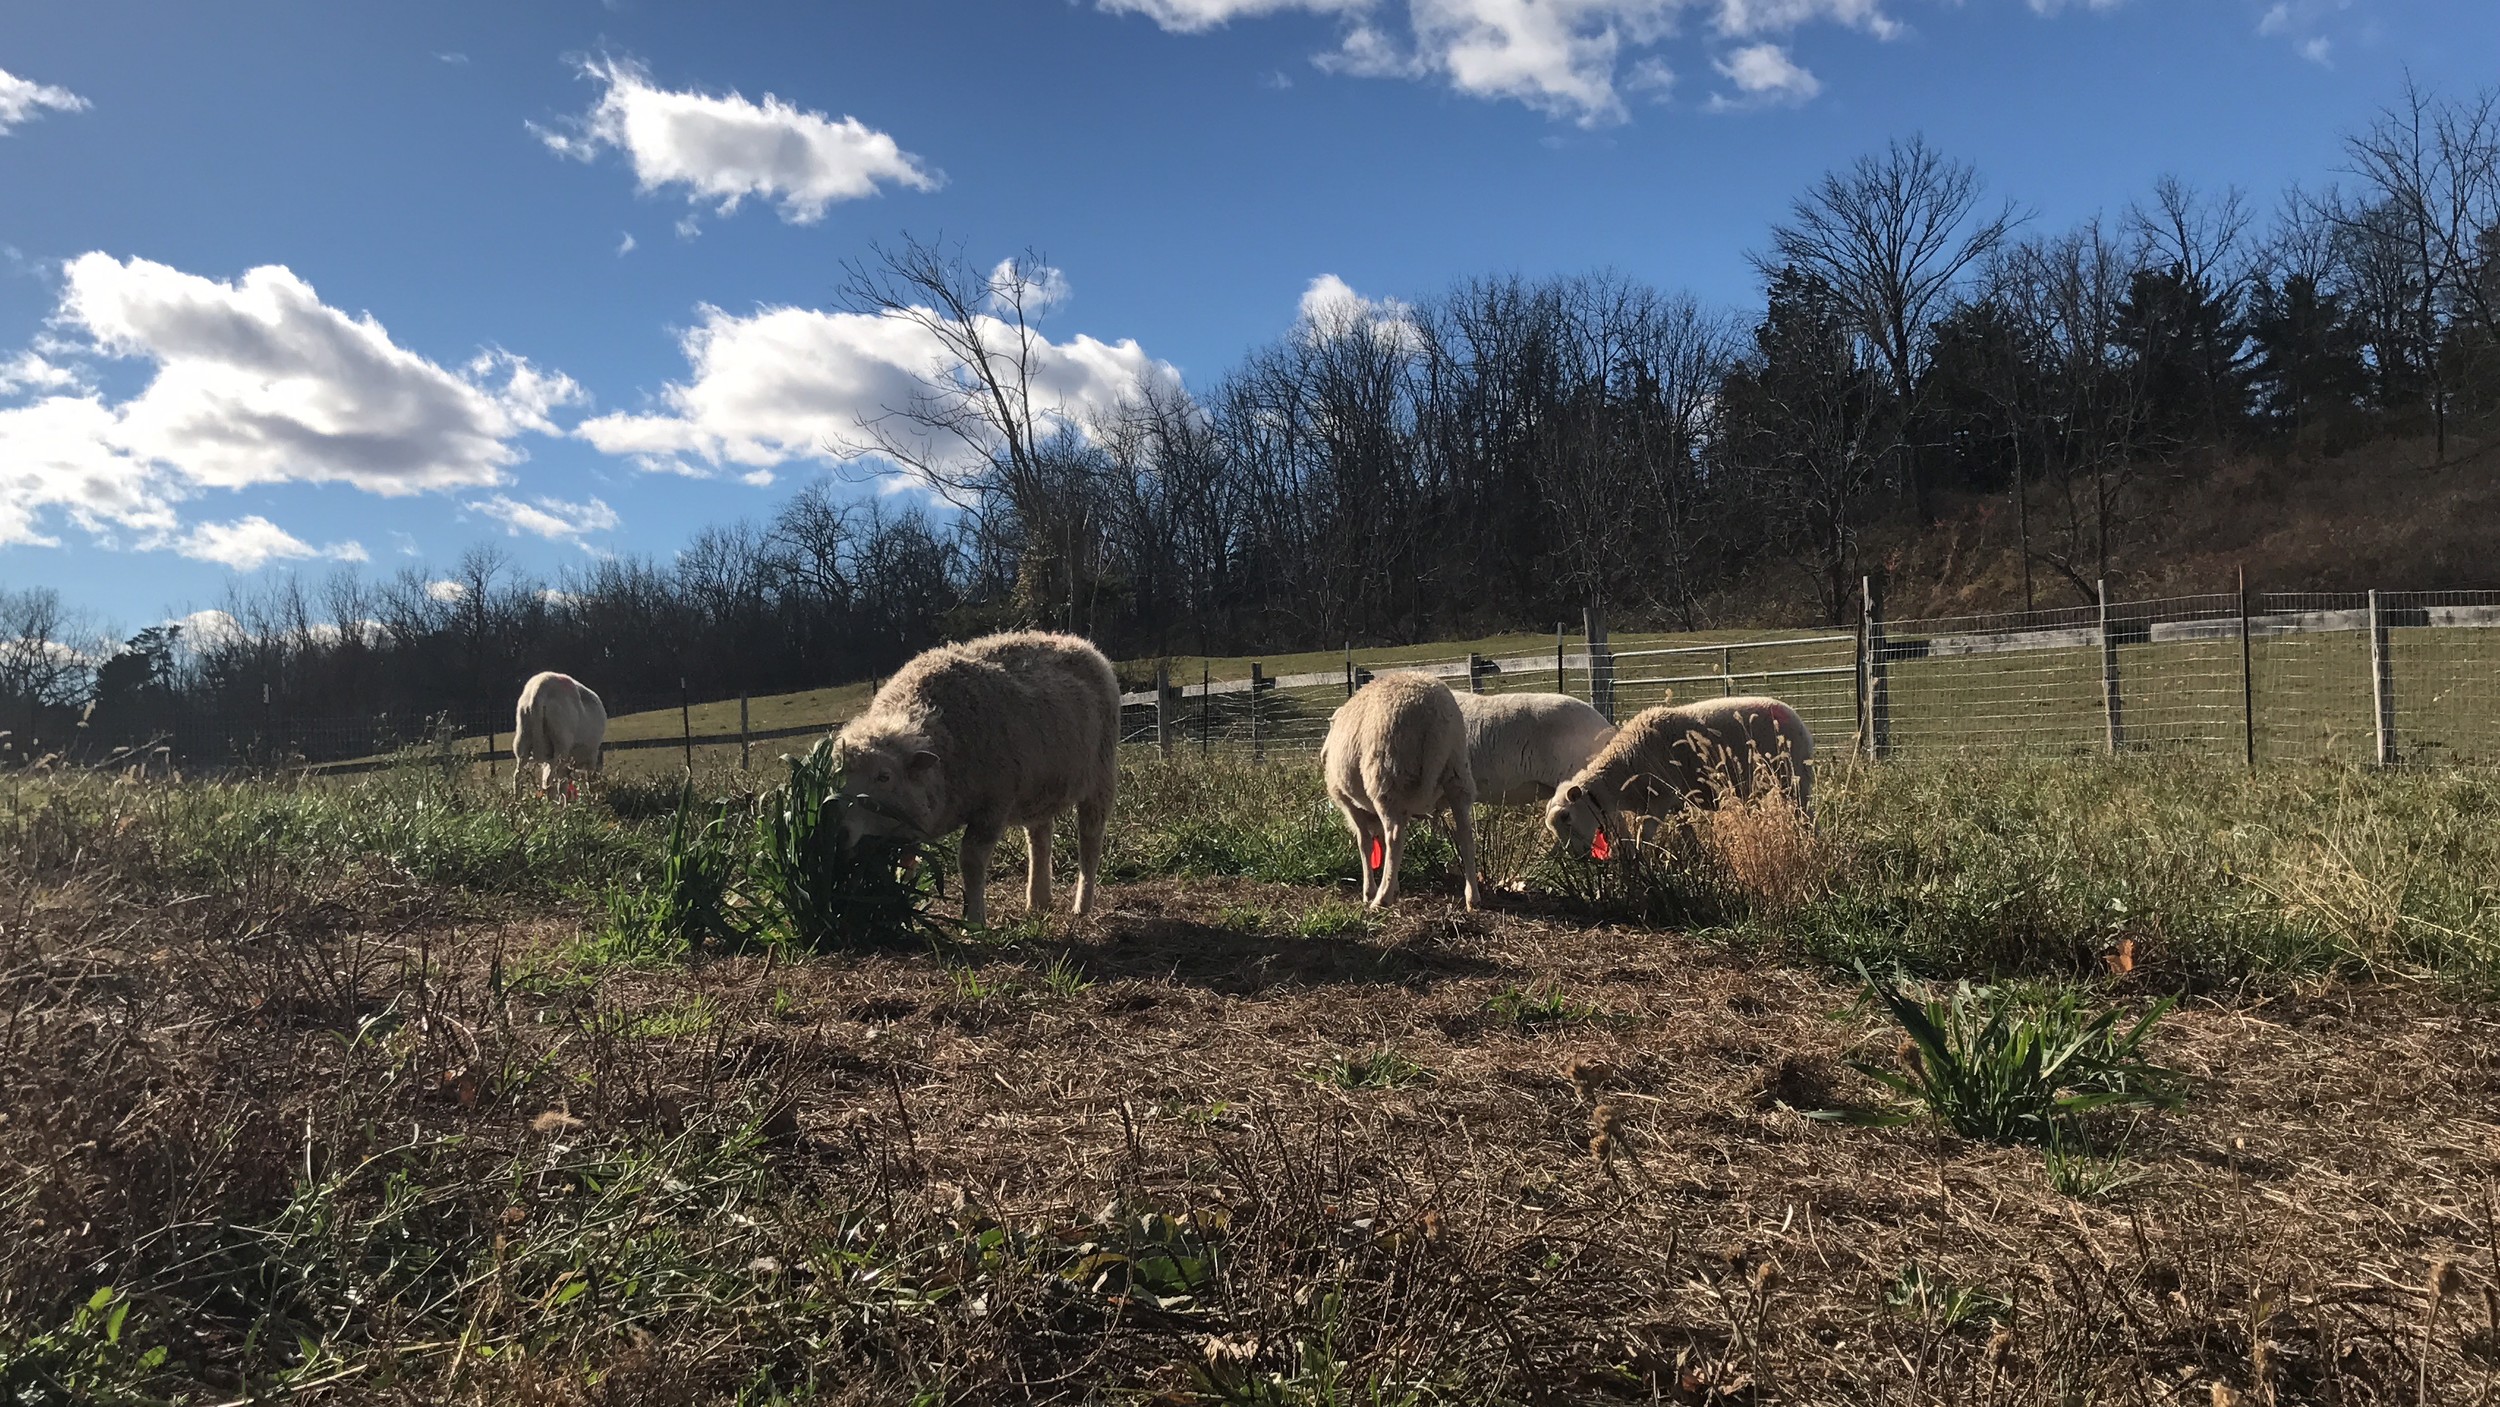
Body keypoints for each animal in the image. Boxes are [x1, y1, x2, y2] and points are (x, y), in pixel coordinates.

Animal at [507, 669, 605, 799]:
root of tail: (539, 689)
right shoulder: (590, 758)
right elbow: (574, 781)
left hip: (522, 737)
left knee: (519, 775)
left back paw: (518, 801)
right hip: (561, 742)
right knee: (549, 781)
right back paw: (555, 803)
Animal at [825, 632, 1120, 929]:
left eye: (884, 777)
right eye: (835, 776)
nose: (838, 832)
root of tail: (1074, 640)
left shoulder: (993, 803)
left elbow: (971, 860)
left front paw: (974, 921)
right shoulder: (911, 821)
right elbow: (905, 866)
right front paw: (903, 907)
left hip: (1101, 775)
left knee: (1090, 839)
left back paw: (1082, 905)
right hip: (1037, 789)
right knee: (1039, 838)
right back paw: (1038, 901)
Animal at [1320, 674, 1470, 914]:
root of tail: (1432, 712)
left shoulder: (1349, 805)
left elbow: (1365, 843)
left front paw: (1369, 891)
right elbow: (1377, 842)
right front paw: (1393, 885)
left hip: (1389, 776)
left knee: (1395, 838)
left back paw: (1381, 900)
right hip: (1457, 771)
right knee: (1465, 833)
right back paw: (1472, 897)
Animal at [1540, 694, 1820, 859]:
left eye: (1566, 817)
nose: (1576, 858)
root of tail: (1794, 714)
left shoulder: (1659, 800)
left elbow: (1644, 836)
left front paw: (1640, 862)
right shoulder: (1675, 801)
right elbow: (1686, 832)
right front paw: (1697, 856)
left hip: (1795, 779)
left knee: (1807, 818)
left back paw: (1812, 846)